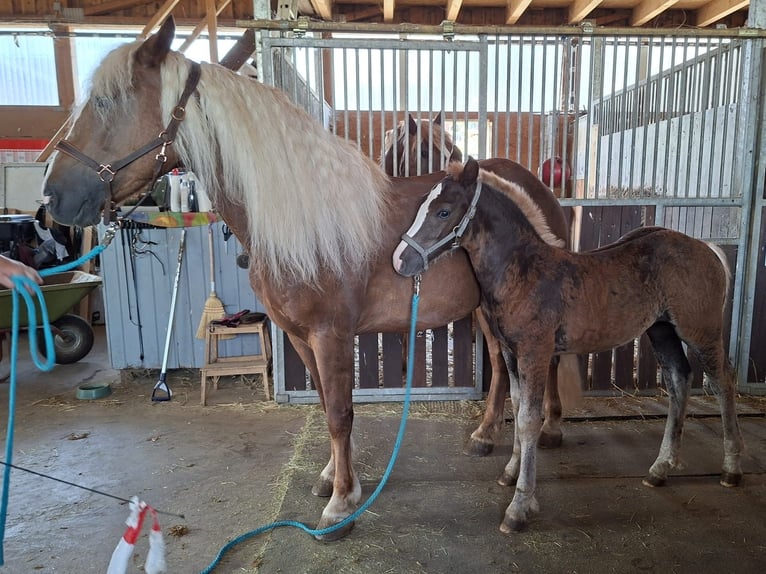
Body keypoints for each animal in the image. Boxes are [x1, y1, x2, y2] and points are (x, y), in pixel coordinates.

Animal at [41, 17, 574, 539]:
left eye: (106, 103)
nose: (54, 198)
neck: (305, 219)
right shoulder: (299, 337)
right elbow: (322, 403)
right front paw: (336, 478)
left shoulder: (330, 334)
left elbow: (340, 413)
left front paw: (340, 506)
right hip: (486, 308)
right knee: (502, 368)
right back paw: (487, 439)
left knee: (542, 368)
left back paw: (547, 433)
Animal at [393, 157, 744, 533]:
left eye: (443, 212)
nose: (400, 260)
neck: (523, 269)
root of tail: (706, 248)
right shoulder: (512, 354)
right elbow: (518, 408)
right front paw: (510, 473)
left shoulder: (534, 354)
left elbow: (529, 420)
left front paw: (519, 506)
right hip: (662, 330)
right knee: (679, 379)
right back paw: (660, 468)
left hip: (701, 331)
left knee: (723, 382)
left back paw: (731, 468)